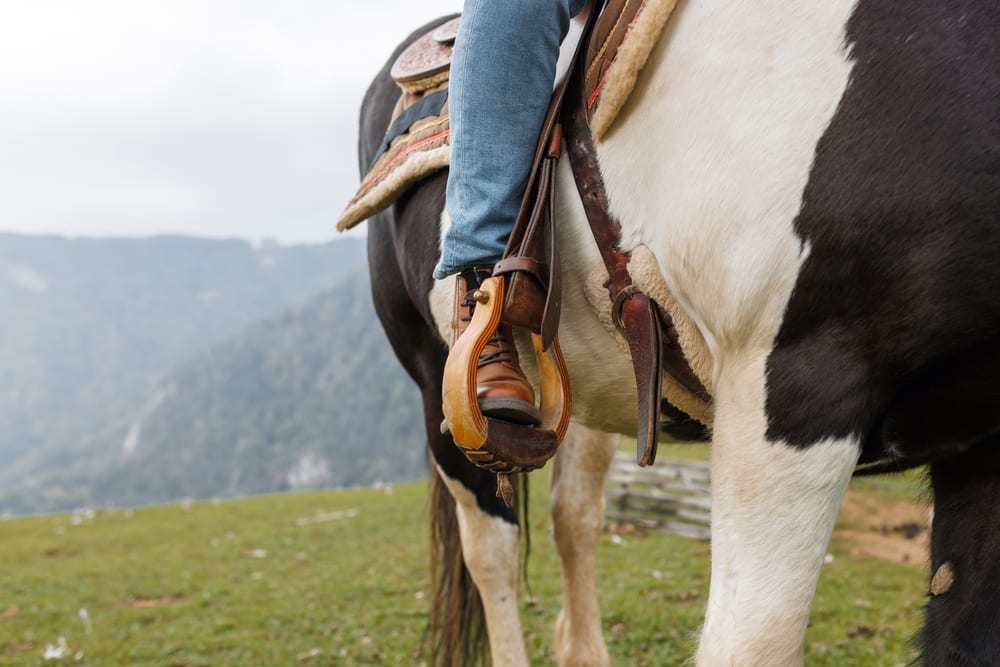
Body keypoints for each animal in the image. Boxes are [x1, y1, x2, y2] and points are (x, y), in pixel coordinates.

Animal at [358, 2, 1000, 665]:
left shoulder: (979, 446)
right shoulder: (798, 388)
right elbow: (752, 641)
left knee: (575, 518)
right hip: (436, 387)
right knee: (493, 554)